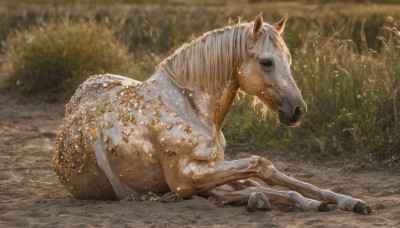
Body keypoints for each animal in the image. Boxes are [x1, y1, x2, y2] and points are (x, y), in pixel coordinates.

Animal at [54, 13, 372, 214]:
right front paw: (306, 203)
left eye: (289, 59)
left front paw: (348, 201)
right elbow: (262, 166)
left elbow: (267, 175)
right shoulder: (186, 177)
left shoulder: (209, 169)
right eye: (267, 62)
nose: (298, 110)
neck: (190, 108)